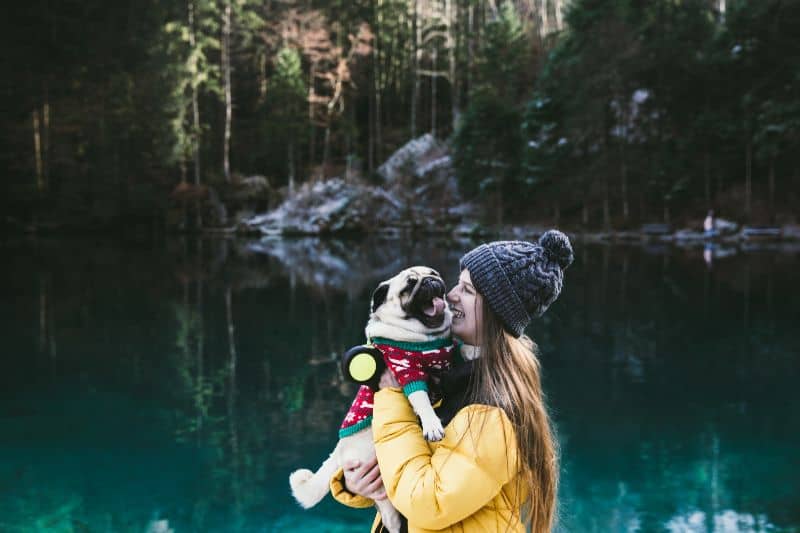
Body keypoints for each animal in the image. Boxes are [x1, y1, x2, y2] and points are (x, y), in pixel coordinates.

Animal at [290, 266, 454, 532]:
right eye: (410, 285)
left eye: (433, 274)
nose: (431, 280)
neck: (426, 339)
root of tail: (339, 451)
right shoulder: (406, 370)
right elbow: (420, 399)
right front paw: (432, 425)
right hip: (382, 490)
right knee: (391, 517)